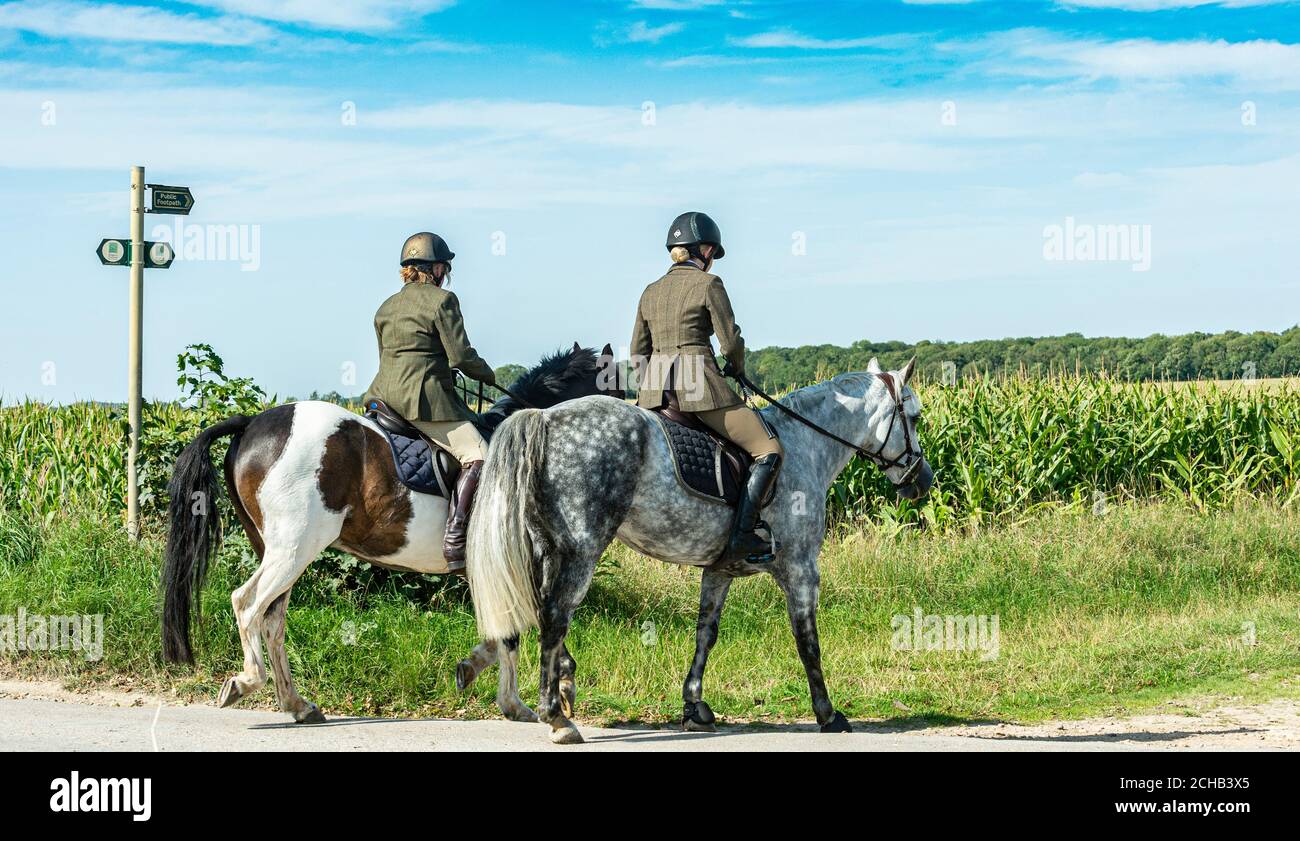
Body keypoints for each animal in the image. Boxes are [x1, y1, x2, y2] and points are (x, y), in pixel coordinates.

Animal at [159, 343, 616, 722]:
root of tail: (253, 421)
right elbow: (516, 631)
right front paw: (533, 697)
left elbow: (505, 631)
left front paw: (487, 679)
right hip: (293, 549)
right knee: (248, 604)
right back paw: (247, 682)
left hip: (277, 550)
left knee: (272, 619)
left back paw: (298, 704)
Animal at [467, 356, 935, 743]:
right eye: (914, 416)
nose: (923, 479)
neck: (806, 444)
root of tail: (545, 417)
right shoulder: (801, 568)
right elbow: (807, 640)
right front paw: (828, 713)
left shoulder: (720, 570)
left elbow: (705, 633)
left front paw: (695, 706)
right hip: (581, 549)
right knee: (554, 616)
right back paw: (556, 716)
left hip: (546, 549)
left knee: (539, 612)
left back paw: (548, 687)